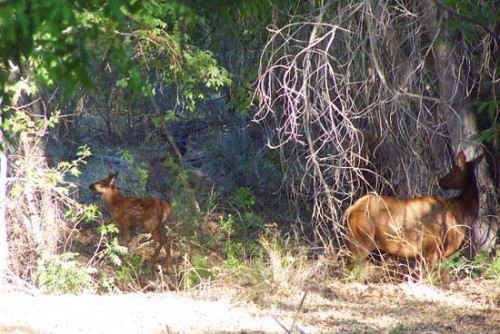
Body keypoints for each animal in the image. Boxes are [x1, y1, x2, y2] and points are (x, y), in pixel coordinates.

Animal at [346, 151, 482, 276]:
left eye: (452, 170)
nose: (440, 181)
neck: (461, 213)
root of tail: (351, 209)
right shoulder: (433, 249)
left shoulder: (441, 253)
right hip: (361, 239)